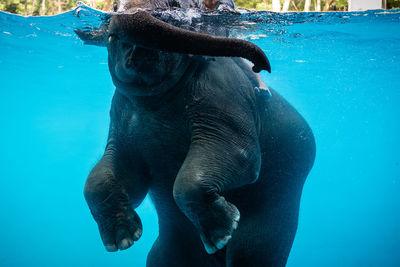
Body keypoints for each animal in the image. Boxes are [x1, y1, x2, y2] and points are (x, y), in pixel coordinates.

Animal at [77, 1, 316, 266]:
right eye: (114, 6)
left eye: (174, 5)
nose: (259, 66)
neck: (156, 99)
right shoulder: (121, 118)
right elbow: (106, 178)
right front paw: (123, 240)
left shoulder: (223, 90)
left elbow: (240, 155)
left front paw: (222, 233)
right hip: (167, 250)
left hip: (272, 216)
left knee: (251, 254)